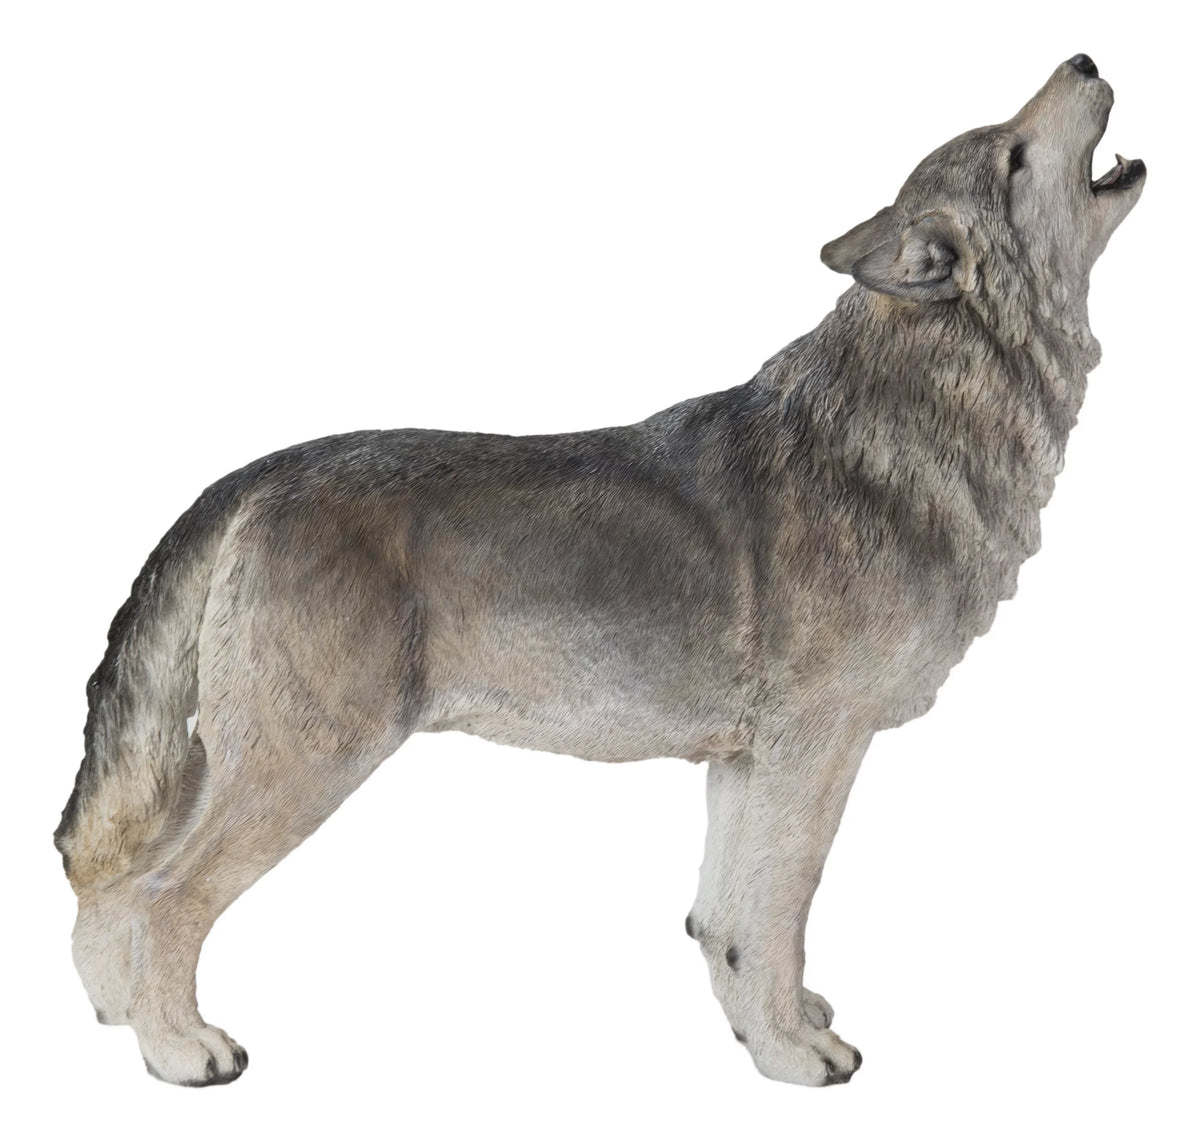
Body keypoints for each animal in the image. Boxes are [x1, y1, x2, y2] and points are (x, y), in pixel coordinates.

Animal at [55, 55, 1144, 1087]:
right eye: (1012, 154)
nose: (1085, 58)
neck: (914, 418)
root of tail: (252, 477)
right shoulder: (813, 752)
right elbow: (776, 918)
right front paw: (796, 1057)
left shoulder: (744, 762)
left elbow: (726, 923)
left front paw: (768, 1033)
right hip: (304, 765)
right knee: (159, 894)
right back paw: (180, 1048)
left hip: (232, 760)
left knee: (108, 880)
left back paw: (120, 1019)